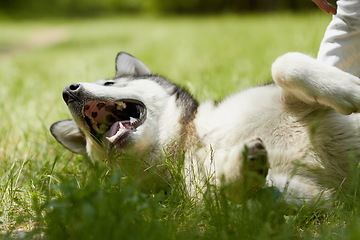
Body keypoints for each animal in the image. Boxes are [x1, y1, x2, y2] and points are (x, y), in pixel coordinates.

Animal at [51, 52, 360, 204]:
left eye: (109, 83)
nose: (67, 91)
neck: (194, 138)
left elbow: (284, 64)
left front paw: (351, 90)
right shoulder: (314, 195)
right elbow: (223, 193)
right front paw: (242, 166)